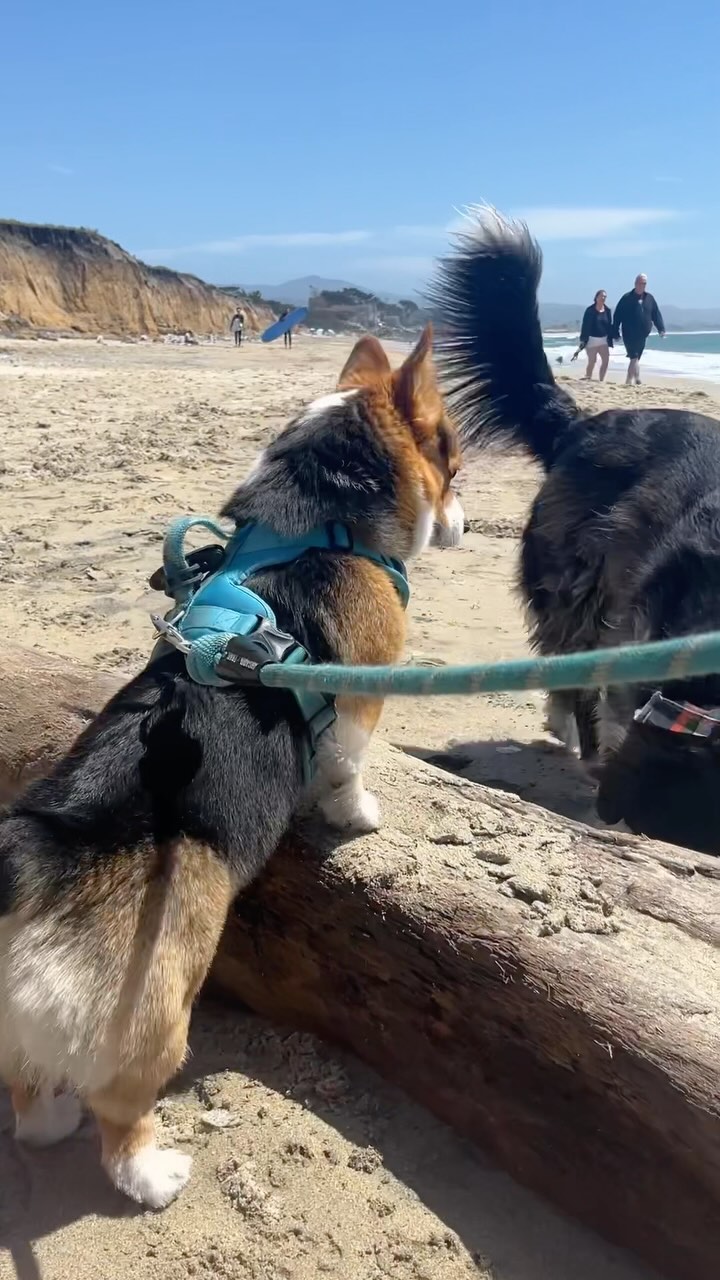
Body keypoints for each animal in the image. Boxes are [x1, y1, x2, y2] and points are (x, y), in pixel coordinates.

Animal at [0, 327, 461, 1208]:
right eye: (450, 453)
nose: (470, 517)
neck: (320, 518)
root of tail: (47, 854)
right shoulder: (362, 697)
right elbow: (347, 768)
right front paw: (357, 816)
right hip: (157, 1018)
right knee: (120, 1119)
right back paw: (153, 1175)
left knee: (30, 1103)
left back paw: (54, 1120)